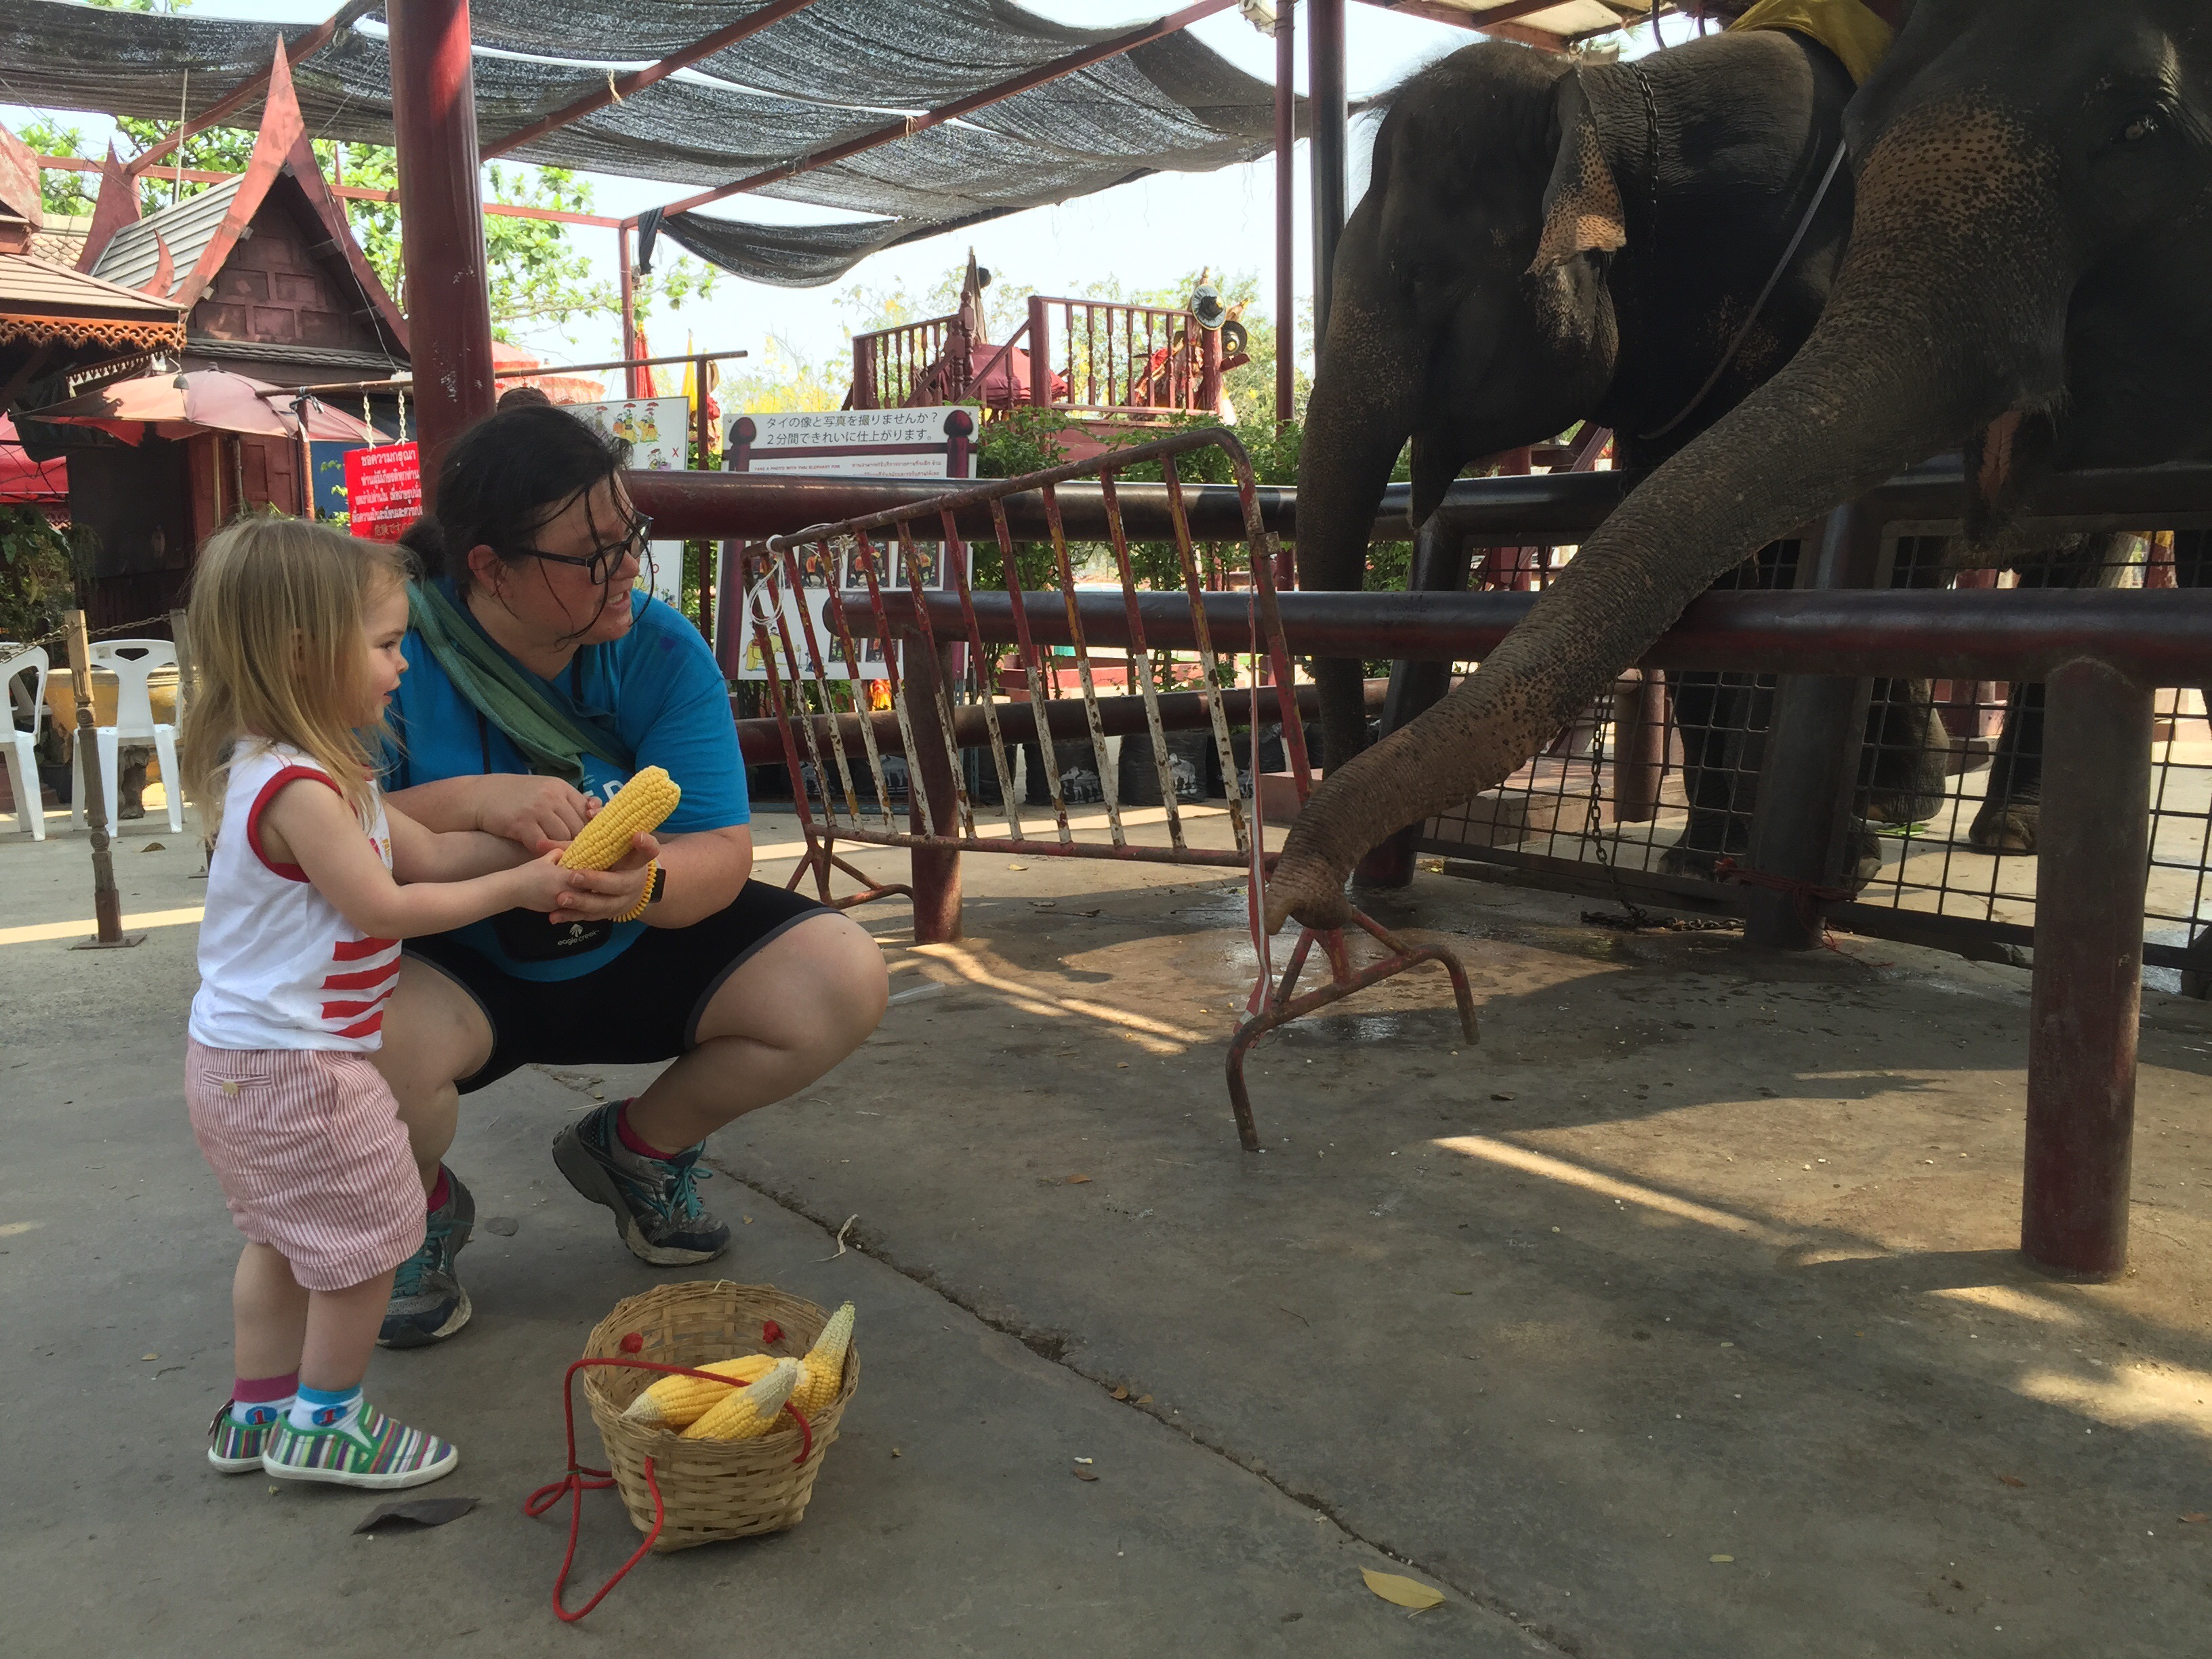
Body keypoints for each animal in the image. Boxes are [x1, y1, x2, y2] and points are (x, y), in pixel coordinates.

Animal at [1267, 0, 2212, 933]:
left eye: (1422, 275)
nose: (1337, 899)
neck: (1613, 97)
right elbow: (1690, 563)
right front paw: (1698, 867)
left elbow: (1785, 561)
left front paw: (1794, 866)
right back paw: (1903, 799)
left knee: (2074, 568)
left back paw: (2006, 827)